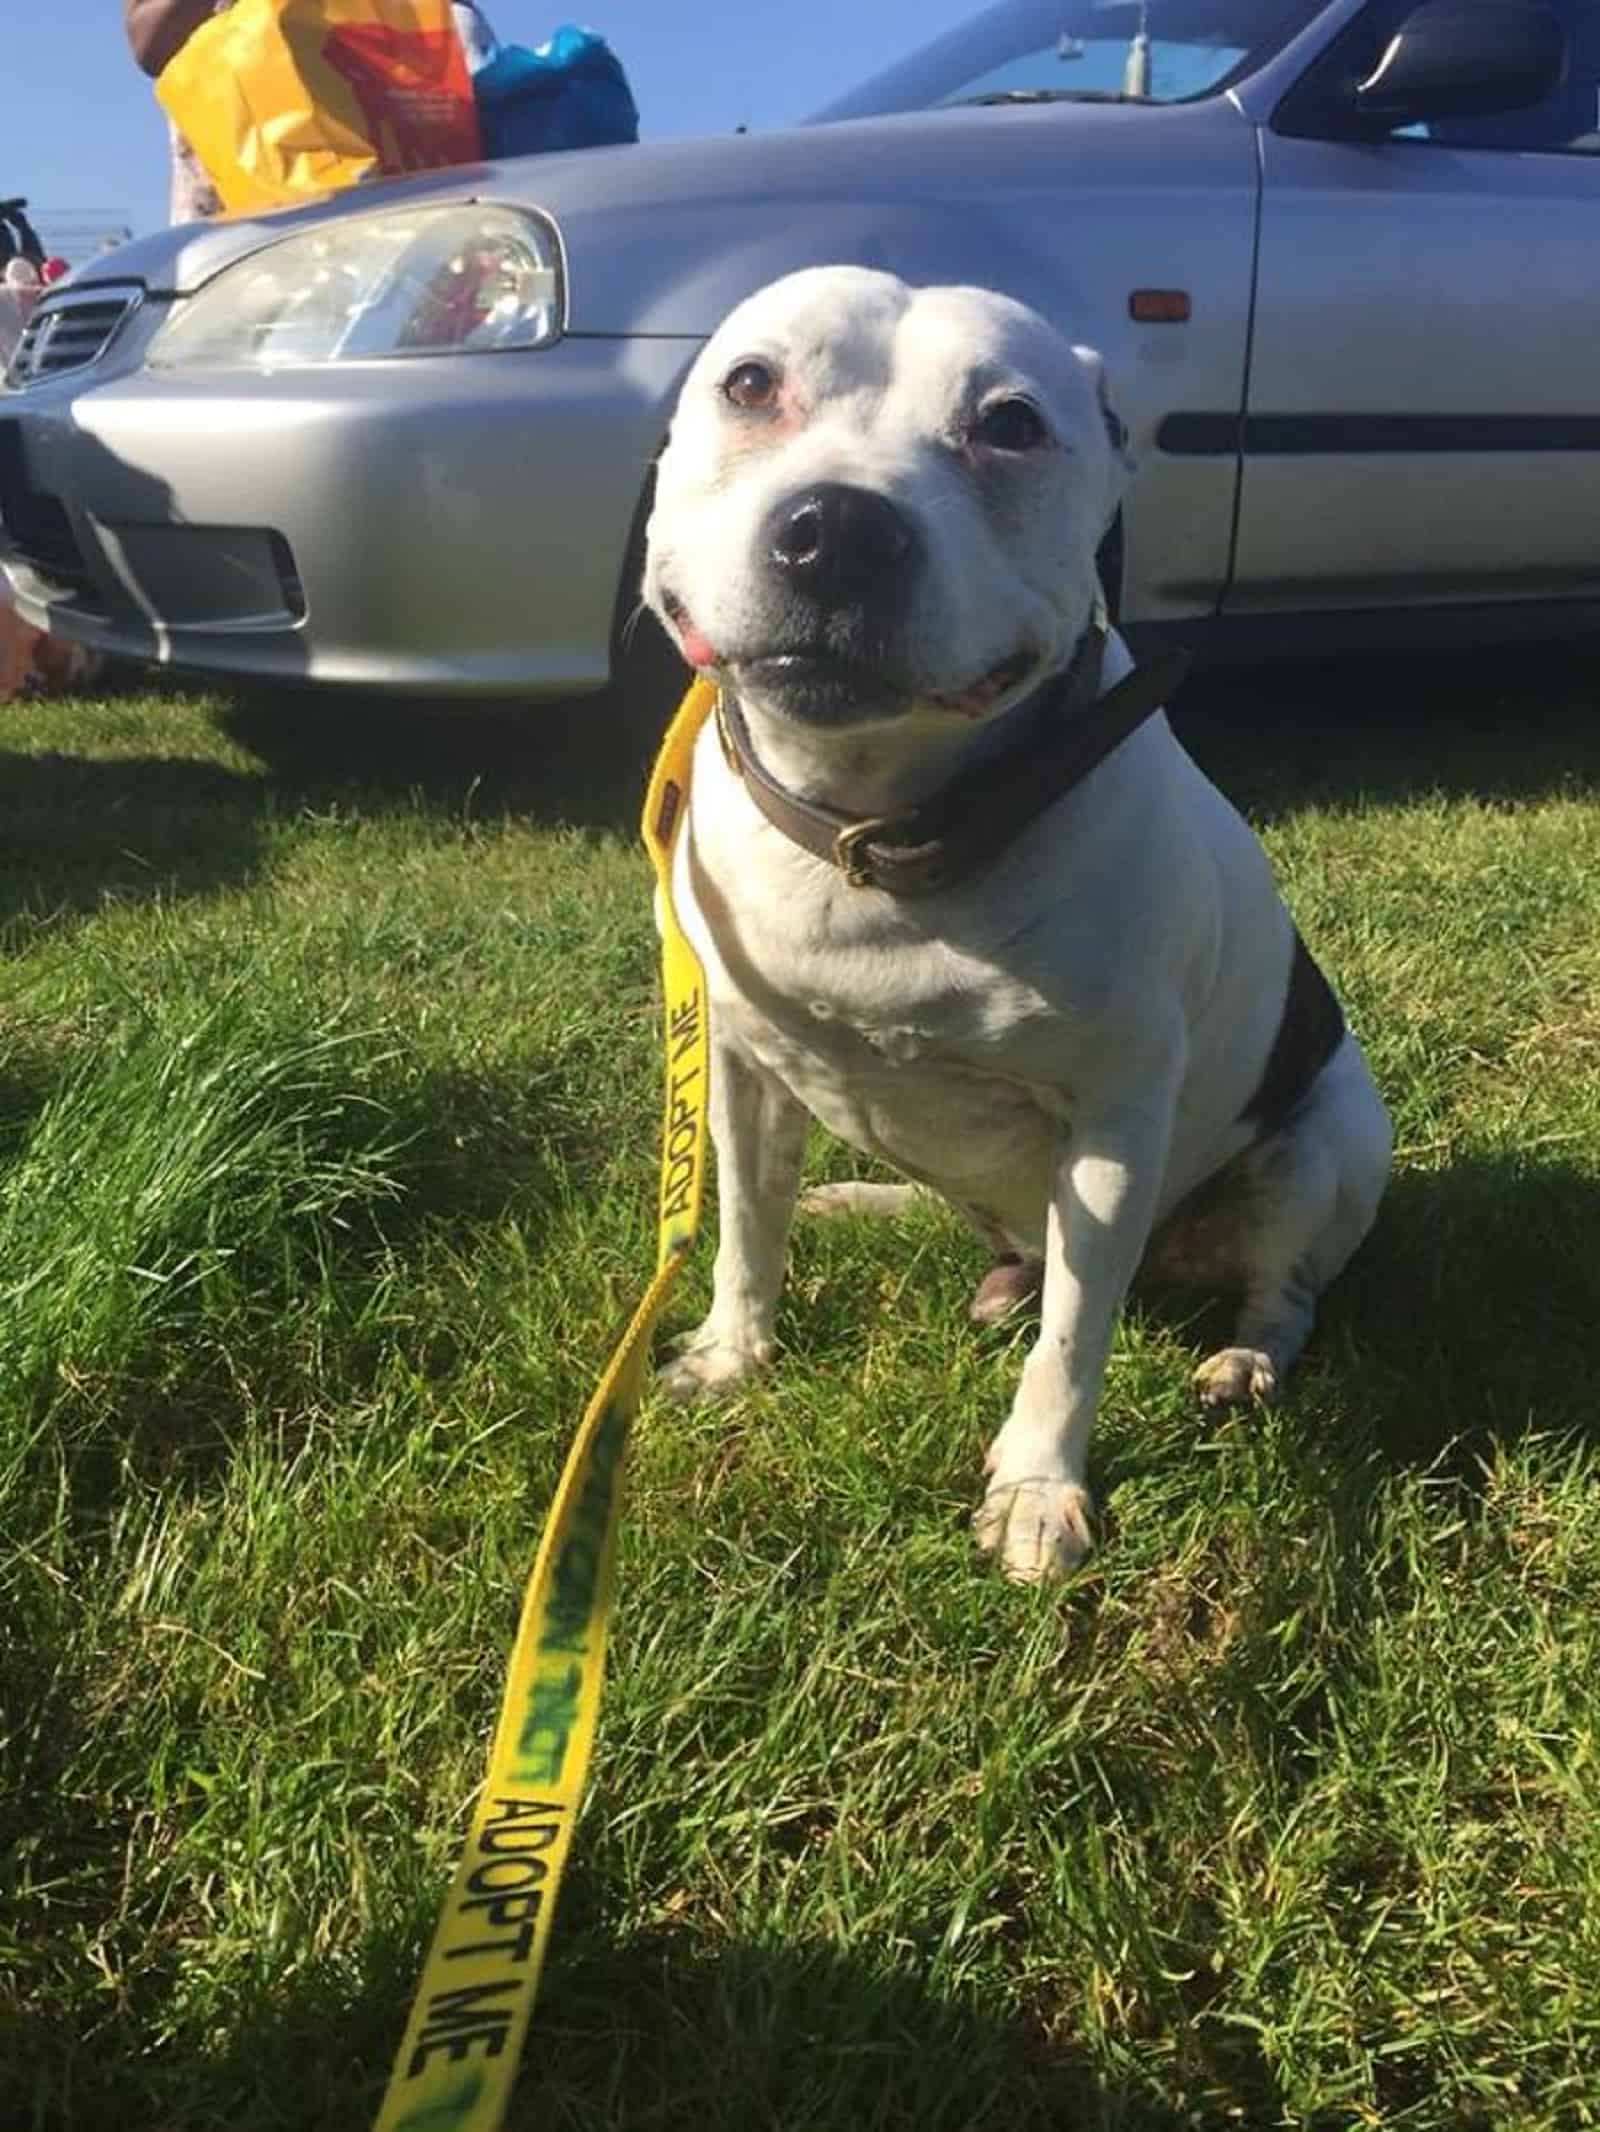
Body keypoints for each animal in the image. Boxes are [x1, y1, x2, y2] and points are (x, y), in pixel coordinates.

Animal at [640, 266, 1390, 1586]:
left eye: (1011, 425)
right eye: (750, 382)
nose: (840, 528)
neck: (877, 829)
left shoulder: (1110, 1126)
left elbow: (1073, 1337)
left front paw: (1039, 1487)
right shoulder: (736, 1064)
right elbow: (742, 1225)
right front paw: (733, 1352)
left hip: (1323, 1152)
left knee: (1282, 1292)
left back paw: (1239, 1361)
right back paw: (874, 1206)